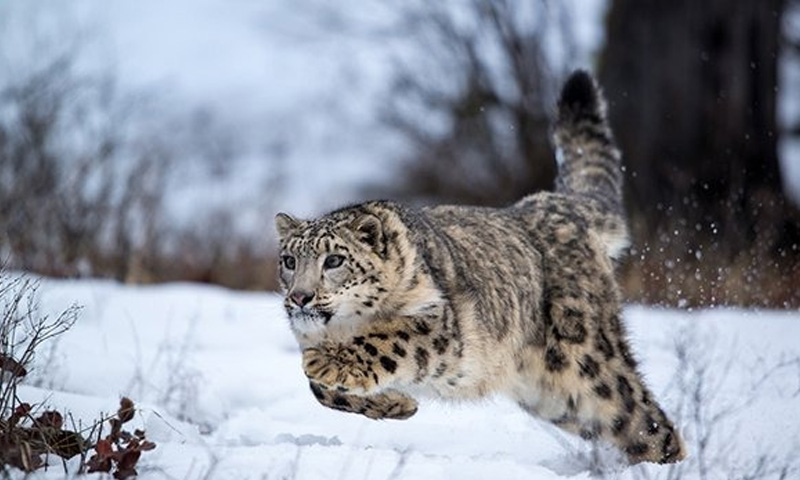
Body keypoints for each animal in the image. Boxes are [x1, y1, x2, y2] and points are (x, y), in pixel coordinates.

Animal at [274, 70, 687, 465]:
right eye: (290, 261)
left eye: (334, 260)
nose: (300, 297)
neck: (339, 328)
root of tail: (552, 202)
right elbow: (318, 389)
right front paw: (397, 403)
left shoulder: (439, 323)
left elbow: (385, 340)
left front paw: (325, 362)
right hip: (558, 397)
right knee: (631, 430)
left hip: (588, 360)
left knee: (648, 421)